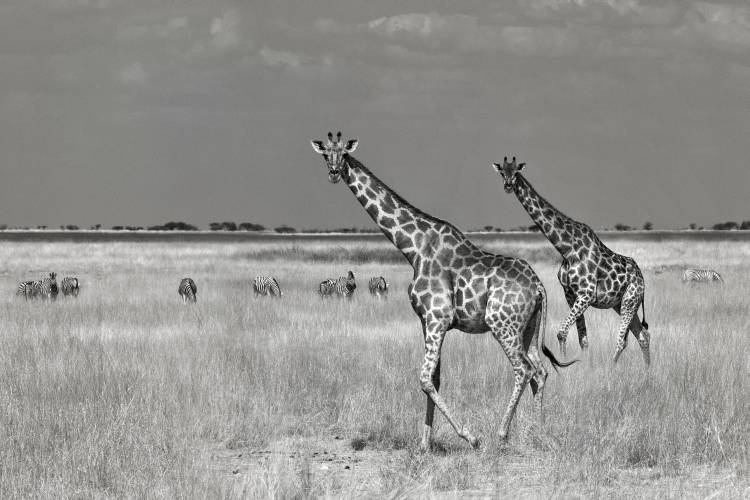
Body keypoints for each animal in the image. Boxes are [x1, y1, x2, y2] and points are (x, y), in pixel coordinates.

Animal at [312, 132, 576, 450]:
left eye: (343, 153)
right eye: (325, 154)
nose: (333, 172)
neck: (413, 248)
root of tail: (538, 286)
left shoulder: (438, 317)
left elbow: (424, 379)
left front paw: (470, 437)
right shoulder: (427, 320)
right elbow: (435, 379)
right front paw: (424, 444)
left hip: (503, 325)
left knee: (523, 370)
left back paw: (501, 435)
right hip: (529, 328)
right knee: (540, 371)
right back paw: (539, 433)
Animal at [494, 158, 652, 366]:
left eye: (516, 172)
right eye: (502, 172)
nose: (508, 185)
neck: (567, 249)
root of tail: (642, 278)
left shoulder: (586, 294)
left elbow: (562, 333)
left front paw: (565, 364)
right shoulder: (570, 294)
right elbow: (582, 338)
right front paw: (582, 365)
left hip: (630, 299)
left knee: (623, 340)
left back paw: (613, 367)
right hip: (621, 303)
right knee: (642, 335)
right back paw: (648, 369)